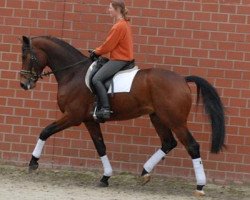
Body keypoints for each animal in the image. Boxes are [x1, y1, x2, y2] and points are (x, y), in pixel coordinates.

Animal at [19, 35, 226, 195]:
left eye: (27, 56)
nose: (24, 84)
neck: (73, 73)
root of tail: (182, 79)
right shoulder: (89, 120)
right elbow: (100, 147)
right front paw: (105, 177)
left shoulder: (73, 117)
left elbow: (45, 131)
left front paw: (33, 163)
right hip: (158, 117)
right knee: (168, 142)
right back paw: (145, 173)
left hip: (175, 121)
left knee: (192, 146)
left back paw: (200, 186)